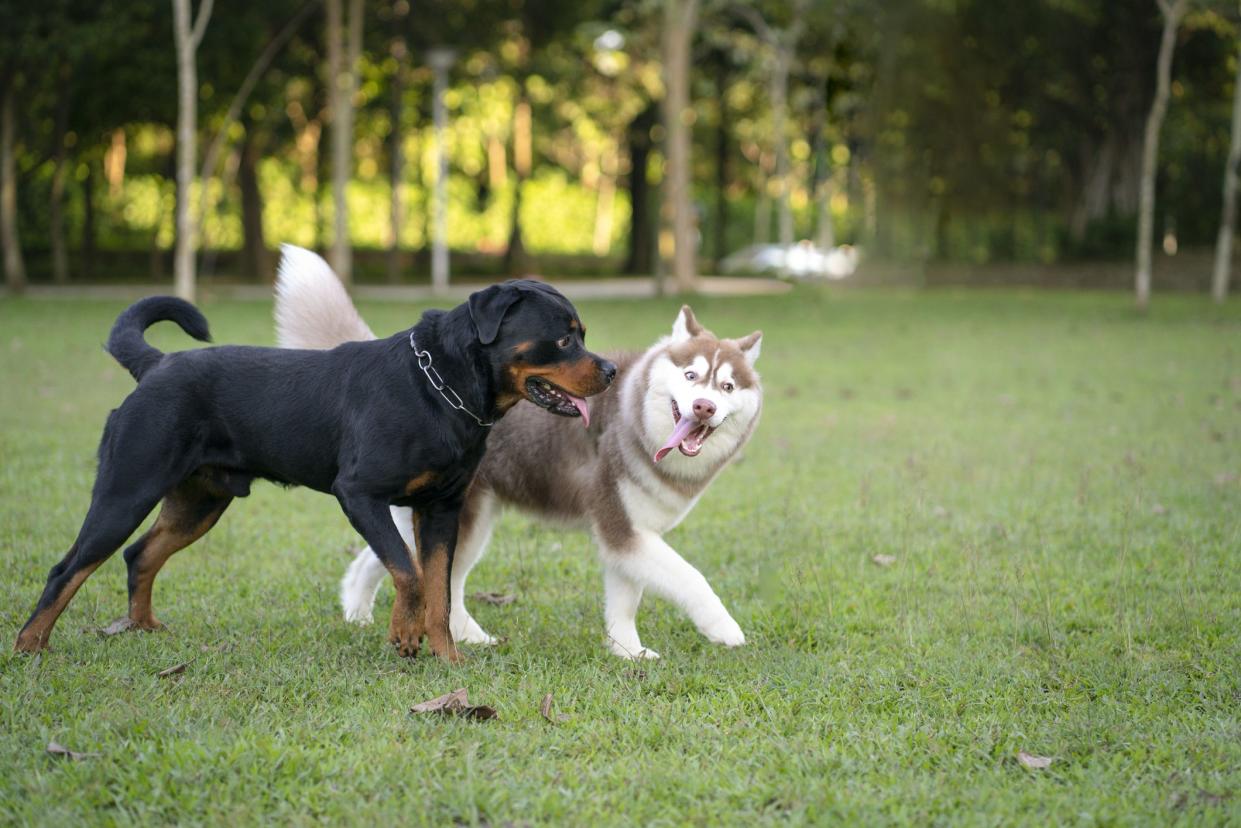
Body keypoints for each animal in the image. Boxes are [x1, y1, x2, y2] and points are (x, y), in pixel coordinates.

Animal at [9, 281, 610, 665]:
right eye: (563, 339)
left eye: (583, 333)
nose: (609, 368)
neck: (443, 388)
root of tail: (156, 365)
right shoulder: (359, 494)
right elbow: (409, 572)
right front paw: (403, 636)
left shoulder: (442, 508)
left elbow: (438, 587)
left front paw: (446, 658)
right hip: (126, 490)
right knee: (67, 569)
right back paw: (29, 648)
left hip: (199, 502)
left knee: (141, 555)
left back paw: (144, 629)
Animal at [276, 249, 759, 655]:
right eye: (692, 376)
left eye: (727, 387)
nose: (704, 406)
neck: (634, 413)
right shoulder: (622, 527)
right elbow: (690, 577)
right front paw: (725, 629)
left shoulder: (628, 535)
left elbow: (625, 601)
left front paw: (628, 652)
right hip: (461, 515)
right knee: (431, 577)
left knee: (403, 568)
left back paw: (371, 616)